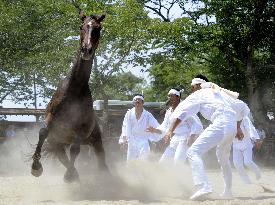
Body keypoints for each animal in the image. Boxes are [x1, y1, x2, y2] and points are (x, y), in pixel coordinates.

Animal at [31, 12, 109, 183]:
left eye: (98, 28)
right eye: (82, 26)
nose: (86, 50)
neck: (74, 90)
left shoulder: (81, 130)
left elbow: (75, 149)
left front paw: (69, 175)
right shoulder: (50, 120)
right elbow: (42, 132)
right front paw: (35, 167)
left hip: (95, 141)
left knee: (99, 160)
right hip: (57, 142)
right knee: (61, 156)